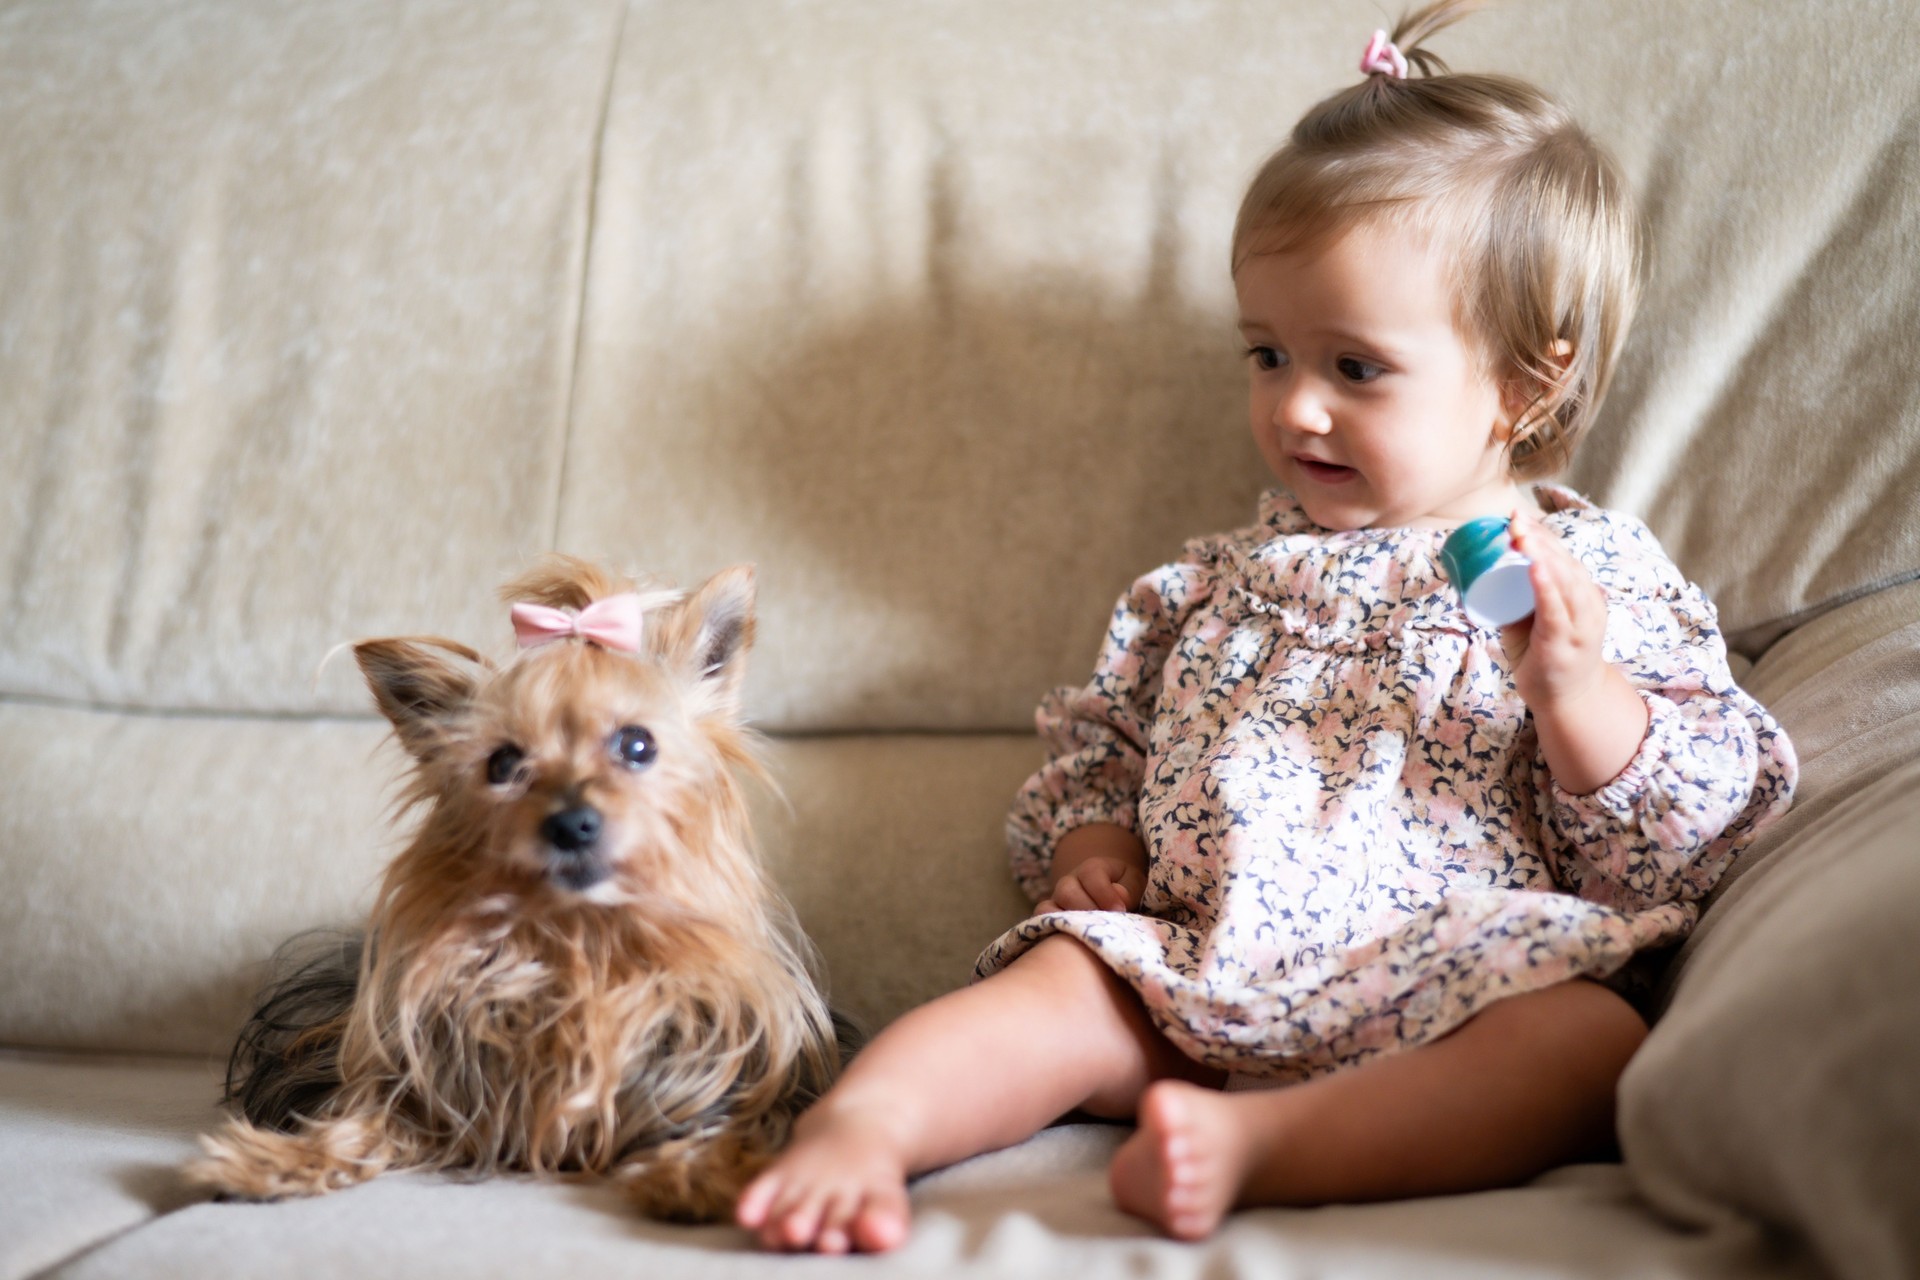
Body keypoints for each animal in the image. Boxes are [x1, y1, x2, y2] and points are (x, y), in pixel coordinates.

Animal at [191, 556, 844, 1220]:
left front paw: (699, 1171)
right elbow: (369, 1121)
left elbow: (735, 1126)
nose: (572, 823)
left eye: (638, 745)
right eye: (503, 764)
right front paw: (274, 1159)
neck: (581, 944)